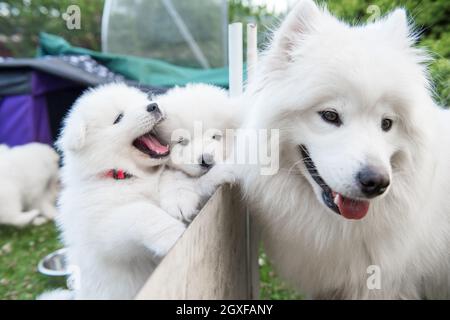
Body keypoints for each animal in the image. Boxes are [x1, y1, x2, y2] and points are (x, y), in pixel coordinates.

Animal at [56, 83, 186, 300]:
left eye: (141, 101)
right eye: (118, 118)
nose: (154, 106)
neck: (125, 175)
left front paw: (181, 203)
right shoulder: (104, 230)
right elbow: (141, 212)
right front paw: (174, 234)